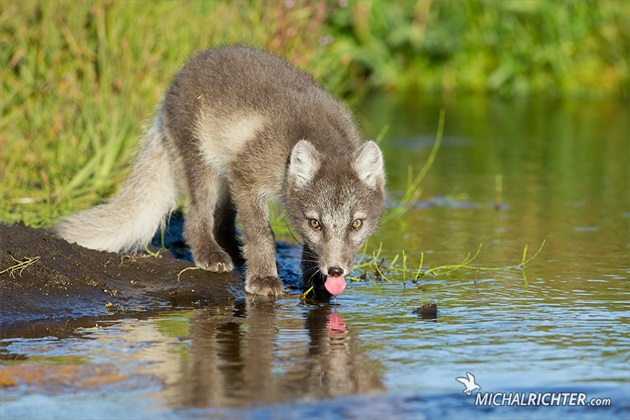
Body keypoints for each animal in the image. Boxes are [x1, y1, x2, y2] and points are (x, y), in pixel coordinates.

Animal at [55, 46, 386, 298]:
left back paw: (234, 252)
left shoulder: (243, 179)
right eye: (316, 223)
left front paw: (313, 278)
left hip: (226, 176)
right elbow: (260, 233)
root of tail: (186, 68)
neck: (313, 134)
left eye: (356, 224)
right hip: (203, 163)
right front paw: (264, 278)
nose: (335, 270)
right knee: (196, 216)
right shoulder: (247, 177)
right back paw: (210, 254)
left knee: (222, 220)